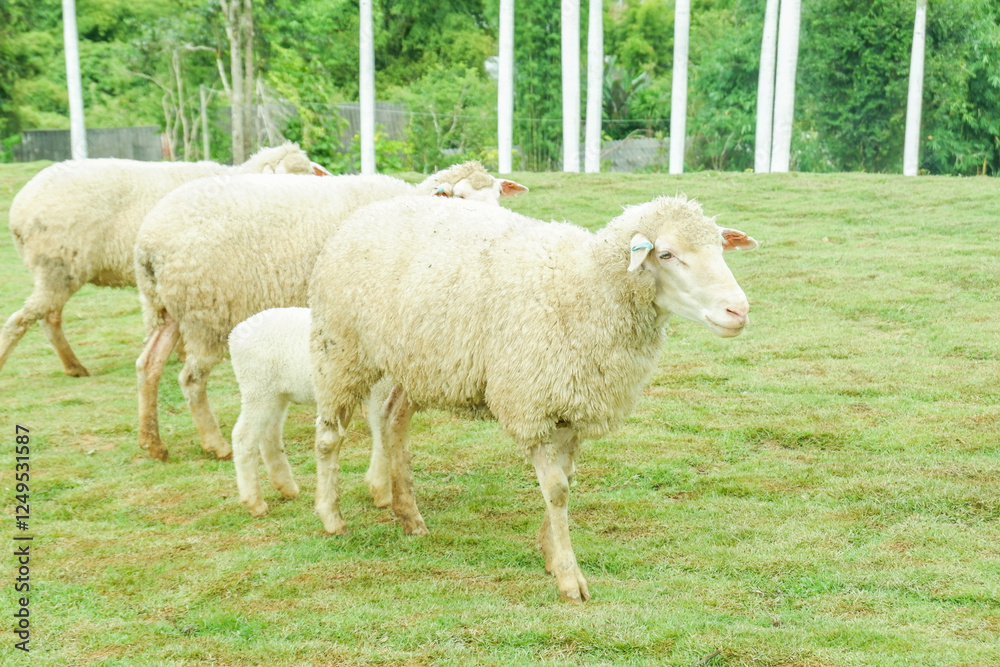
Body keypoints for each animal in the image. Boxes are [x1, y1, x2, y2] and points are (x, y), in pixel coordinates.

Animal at [0, 143, 324, 377]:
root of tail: (19, 207)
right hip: (59, 265)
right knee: (23, 318)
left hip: (55, 268)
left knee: (48, 316)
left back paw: (73, 366)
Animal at [135, 162, 528, 462]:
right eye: (459, 198)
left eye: (497, 196)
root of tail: (148, 239)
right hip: (205, 315)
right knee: (190, 379)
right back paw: (214, 444)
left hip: (167, 309)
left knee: (148, 364)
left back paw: (152, 443)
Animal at [228, 307, 396, 517]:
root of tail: (236, 333)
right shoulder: (381, 391)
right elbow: (383, 439)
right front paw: (383, 495)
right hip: (257, 387)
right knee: (243, 437)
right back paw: (255, 503)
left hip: (276, 393)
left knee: (270, 435)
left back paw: (287, 488)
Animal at [307, 194, 757, 602]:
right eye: (666, 253)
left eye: (720, 249)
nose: (738, 311)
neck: (585, 288)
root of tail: (366, 212)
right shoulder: (533, 403)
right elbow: (557, 490)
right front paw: (570, 578)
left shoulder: (574, 406)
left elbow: (565, 480)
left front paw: (550, 554)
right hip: (340, 347)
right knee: (329, 435)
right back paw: (331, 517)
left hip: (417, 362)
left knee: (392, 421)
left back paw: (409, 516)